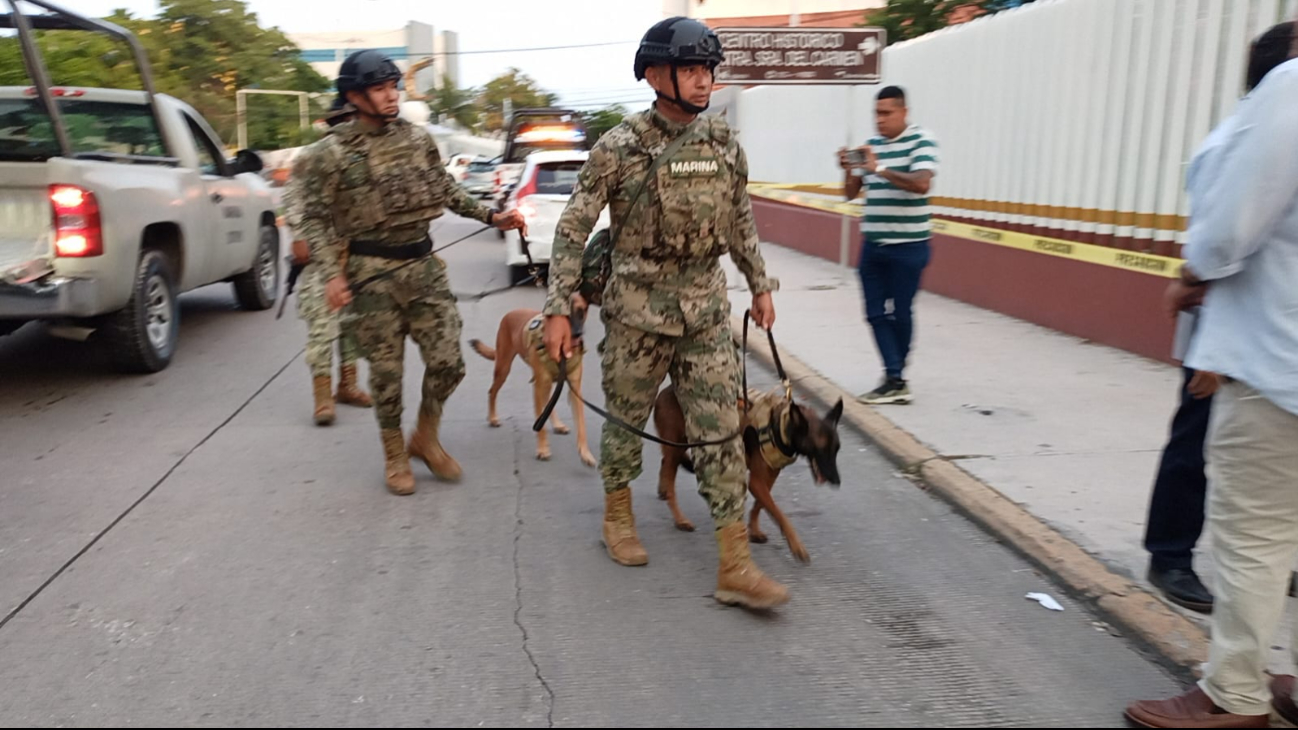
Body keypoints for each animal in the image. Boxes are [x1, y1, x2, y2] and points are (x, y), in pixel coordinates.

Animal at [469, 292, 594, 462]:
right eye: (565, 314)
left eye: (581, 311)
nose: (577, 334)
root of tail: (511, 312)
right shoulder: (539, 386)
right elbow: (541, 424)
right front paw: (542, 449)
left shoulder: (574, 389)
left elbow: (581, 425)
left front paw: (585, 453)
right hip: (504, 368)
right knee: (492, 391)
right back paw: (493, 417)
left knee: (548, 402)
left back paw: (557, 424)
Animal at [654, 387, 846, 563]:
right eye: (821, 449)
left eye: (836, 450)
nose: (837, 481)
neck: (782, 424)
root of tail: (665, 391)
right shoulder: (756, 482)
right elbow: (779, 513)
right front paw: (796, 545)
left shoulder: (769, 476)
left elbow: (760, 505)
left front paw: (754, 530)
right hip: (677, 446)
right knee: (670, 476)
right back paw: (680, 518)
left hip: (680, 446)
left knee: (664, 463)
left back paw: (662, 491)